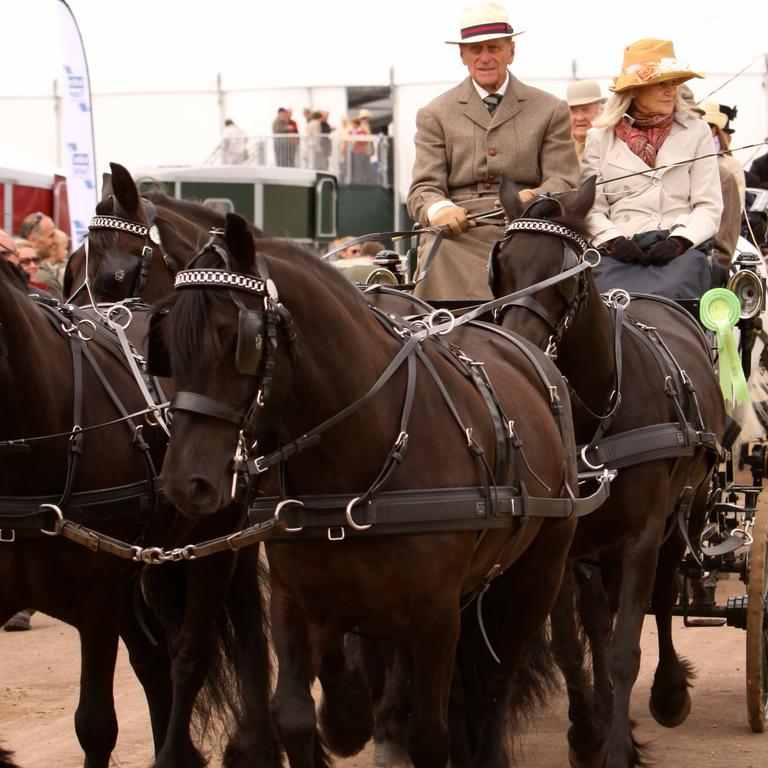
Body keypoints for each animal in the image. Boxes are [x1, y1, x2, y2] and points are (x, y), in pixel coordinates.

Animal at [154, 212, 612, 768]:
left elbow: (431, 735)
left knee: (500, 679)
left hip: (540, 572)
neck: (355, 464)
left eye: (237, 340)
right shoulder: (296, 603)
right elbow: (295, 716)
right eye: (166, 340)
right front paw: (344, 721)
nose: (185, 481)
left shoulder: (434, 615)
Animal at [492, 177, 728, 764]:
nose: (522, 347)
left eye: (567, 271)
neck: (594, 412)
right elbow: (572, 643)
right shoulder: (562, 538)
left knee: (663, 595)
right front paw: (588, 732)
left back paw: (668, 695)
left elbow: (626, 648)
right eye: (502, 263)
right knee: (598, 616)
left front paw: (620, 745)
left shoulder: (642, 534)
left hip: (686, 510)